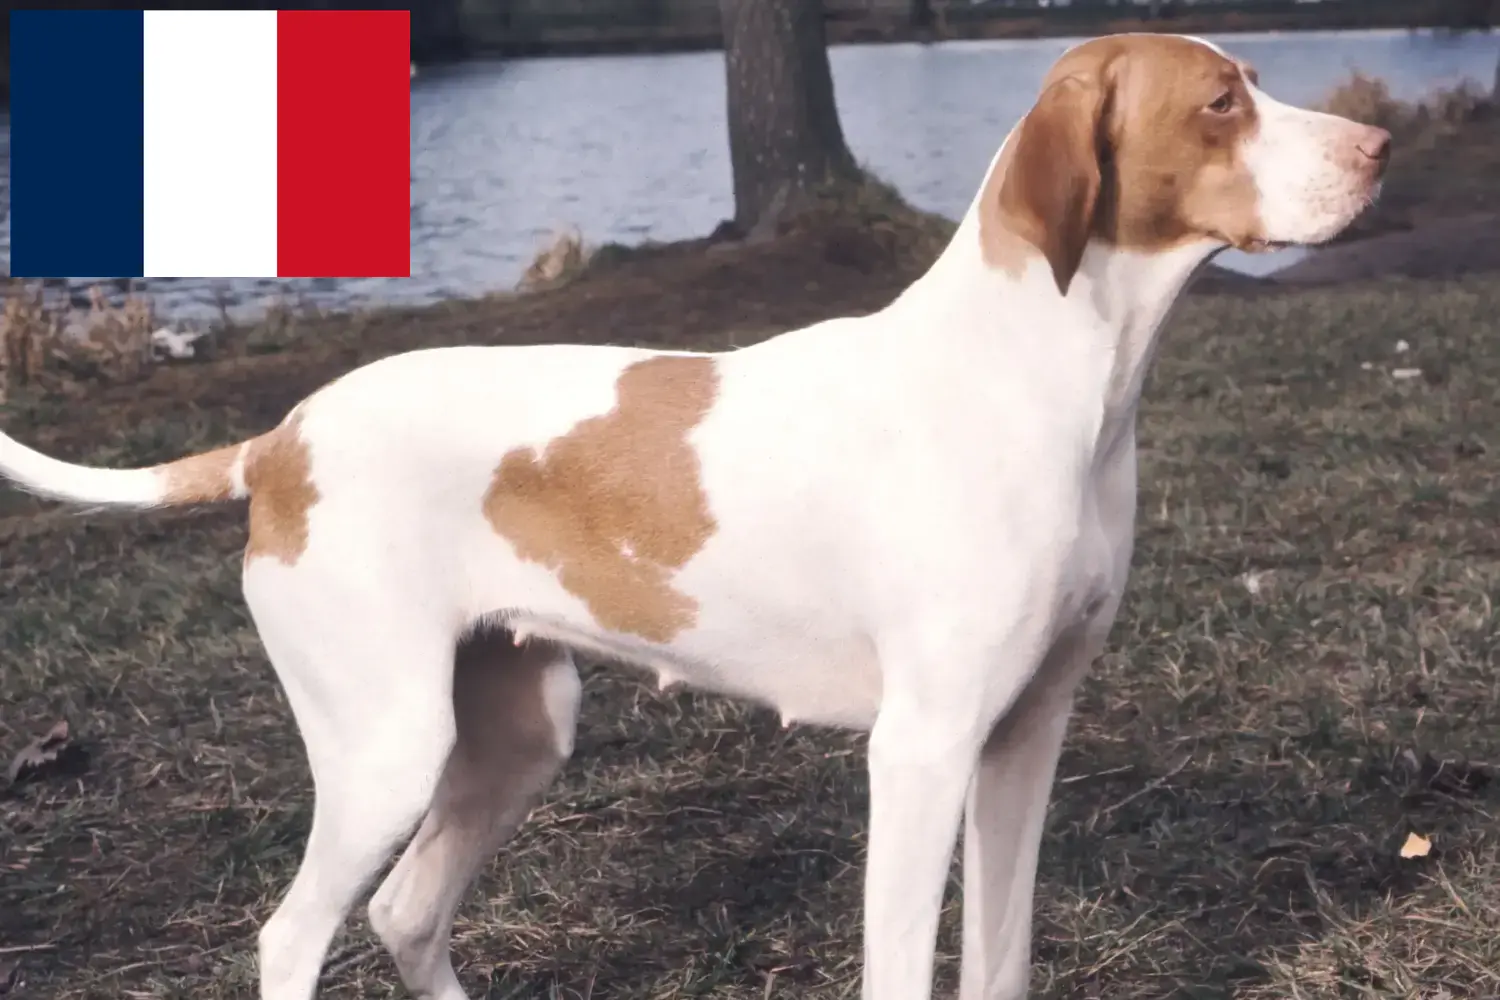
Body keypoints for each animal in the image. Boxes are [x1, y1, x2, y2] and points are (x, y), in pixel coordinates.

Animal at [0, 33, 1380, 1000]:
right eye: (1221, 102)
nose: (1375, 148)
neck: (1043, 378)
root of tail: (280, 439)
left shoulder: (1024, 739)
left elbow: (1002, 960)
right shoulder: (922, 752)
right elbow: (901, 967)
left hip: (515, 733)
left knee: (403, 912)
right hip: (388, 749)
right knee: (294, 935)